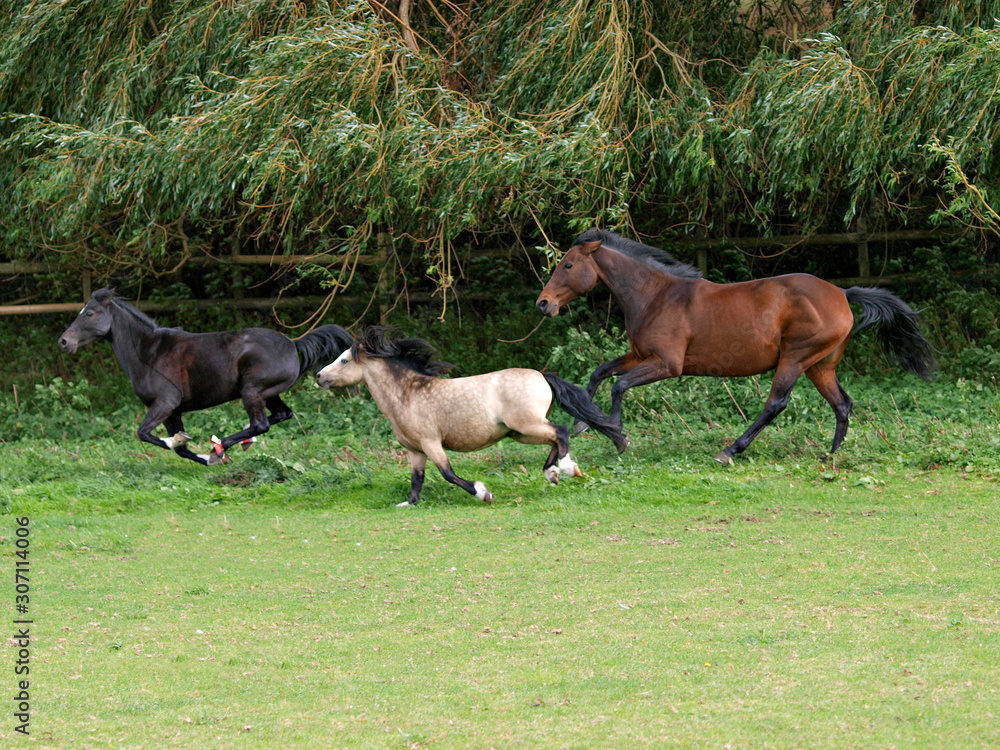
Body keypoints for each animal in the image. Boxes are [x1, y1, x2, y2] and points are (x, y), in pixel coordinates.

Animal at [58, 287, 354, 465]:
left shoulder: (165, 403)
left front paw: (198, 447)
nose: (64, 342)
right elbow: (179, 449)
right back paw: (236, 444)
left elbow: (145, 434)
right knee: (282, 415)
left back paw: (221, 444)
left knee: (261, 424)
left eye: (90, 313)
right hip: (268, 393)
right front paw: (203, 455)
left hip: (252, 391)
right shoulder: (174, 411)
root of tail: (293, 344)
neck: (148, 352)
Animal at [316, 326, 627, 506]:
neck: (407, 395)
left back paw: (564, 468)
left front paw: (482, 493)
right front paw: (409, 503)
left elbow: (448, 473)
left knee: (561, 432)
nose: (319, 376)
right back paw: (554, 472)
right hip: (521, 432)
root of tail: (542, 375)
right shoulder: (415, 450)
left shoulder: (431, 442)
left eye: (344, 360)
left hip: (527, 425)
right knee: (555, 438)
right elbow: (417, 480)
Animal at [535, 228, 937, 464]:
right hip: (820, 365)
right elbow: (599, 373)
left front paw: (617, 436)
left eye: (567, 265)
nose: (543, 303)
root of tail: (842, 293)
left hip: (795, 358)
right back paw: (830, 456)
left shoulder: (667, 363)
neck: (656, 295)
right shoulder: (639, 355)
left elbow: (618, 385)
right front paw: (584, 423)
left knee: (776, 404)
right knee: (842, 404)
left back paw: (729, 450)